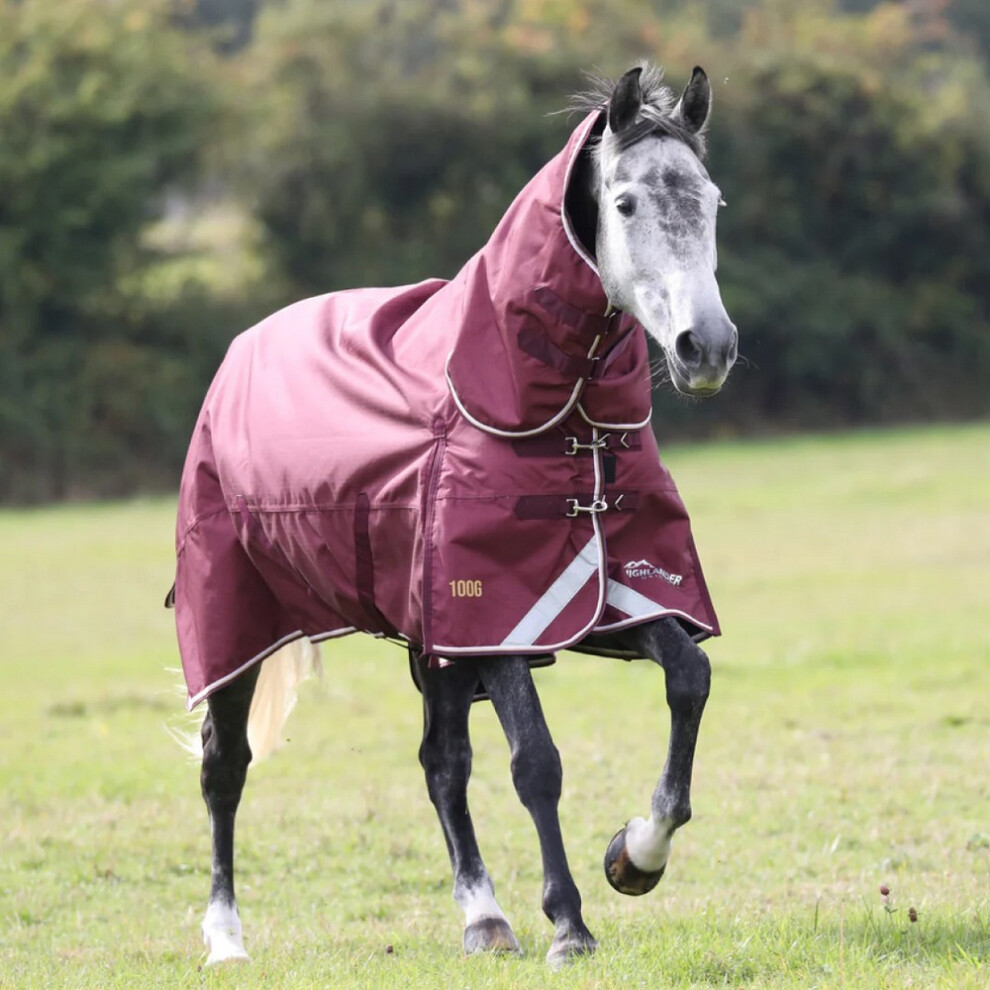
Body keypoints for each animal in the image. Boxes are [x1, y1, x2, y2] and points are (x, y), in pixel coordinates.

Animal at [170, 66, 740, 972]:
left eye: (712, 201)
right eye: (624, 204)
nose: (705, 348)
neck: (555, 422)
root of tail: (237, 357)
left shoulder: (610, 593)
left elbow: (689, 678)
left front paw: (635, 854)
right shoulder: (499, 612)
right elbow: (536, 761)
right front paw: (571, 924)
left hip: (432, 644)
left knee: (442, 761)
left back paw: (485, 916)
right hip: (236, 622)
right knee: (225, 769)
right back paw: (225, 939)